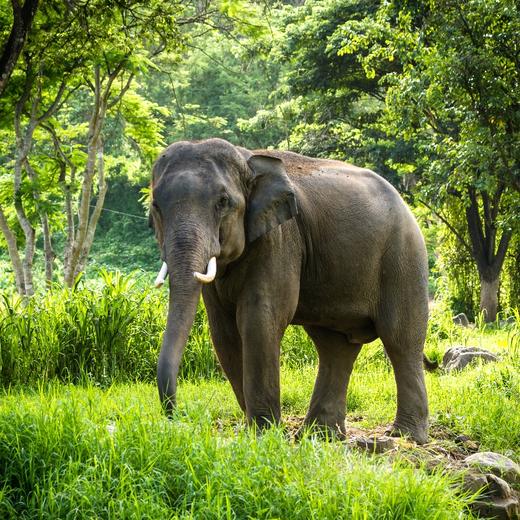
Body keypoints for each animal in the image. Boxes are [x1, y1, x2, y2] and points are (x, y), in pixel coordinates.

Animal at [149, 137, 430, 442]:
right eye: (155, 206)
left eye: (223, 202)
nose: (175, 418)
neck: (247, 160)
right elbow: (224, 332)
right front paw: (257, 431)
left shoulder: (280, 240)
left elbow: (259, 319)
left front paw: (263, 433)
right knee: (335, 347)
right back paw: (321, 435)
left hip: (404, 257)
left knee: (400, 338)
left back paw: (405, 437)